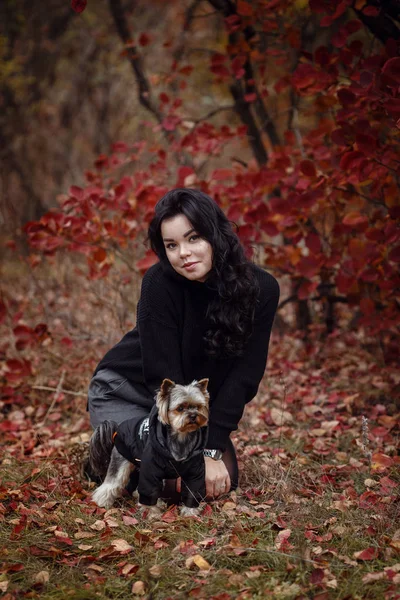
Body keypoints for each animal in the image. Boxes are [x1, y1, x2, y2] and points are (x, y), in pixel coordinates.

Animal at [88, 380, 209, 516]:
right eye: (180, 408)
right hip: (122, 460)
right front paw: (153, 514)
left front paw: (190, 514)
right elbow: (148, 491)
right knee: (112, 483)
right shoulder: (150, 472)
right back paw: (101, 503)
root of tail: (117, 430)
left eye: (198, 407)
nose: (193, 415)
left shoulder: (194, 474)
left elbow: (193, 491)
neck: (181, 439)